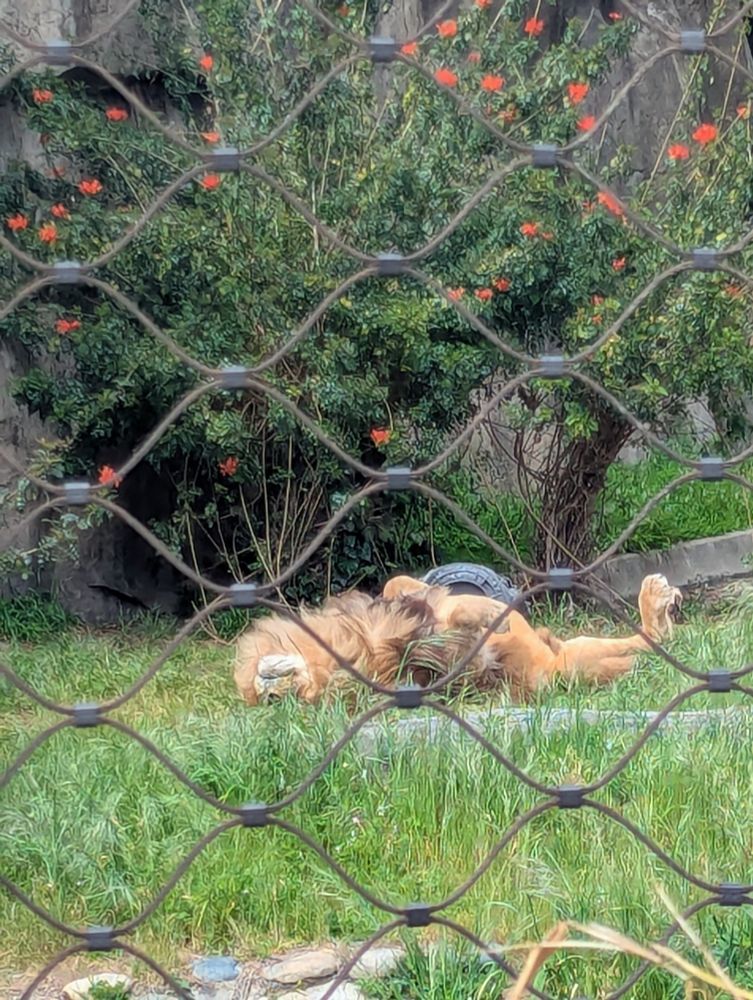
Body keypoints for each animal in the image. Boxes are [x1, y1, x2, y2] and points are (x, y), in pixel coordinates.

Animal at [233, 573, 682, 706]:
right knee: (650, 642)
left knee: (650, 638)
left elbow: (403, 586)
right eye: (274, 703)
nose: (271, 687)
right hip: (565, 663)